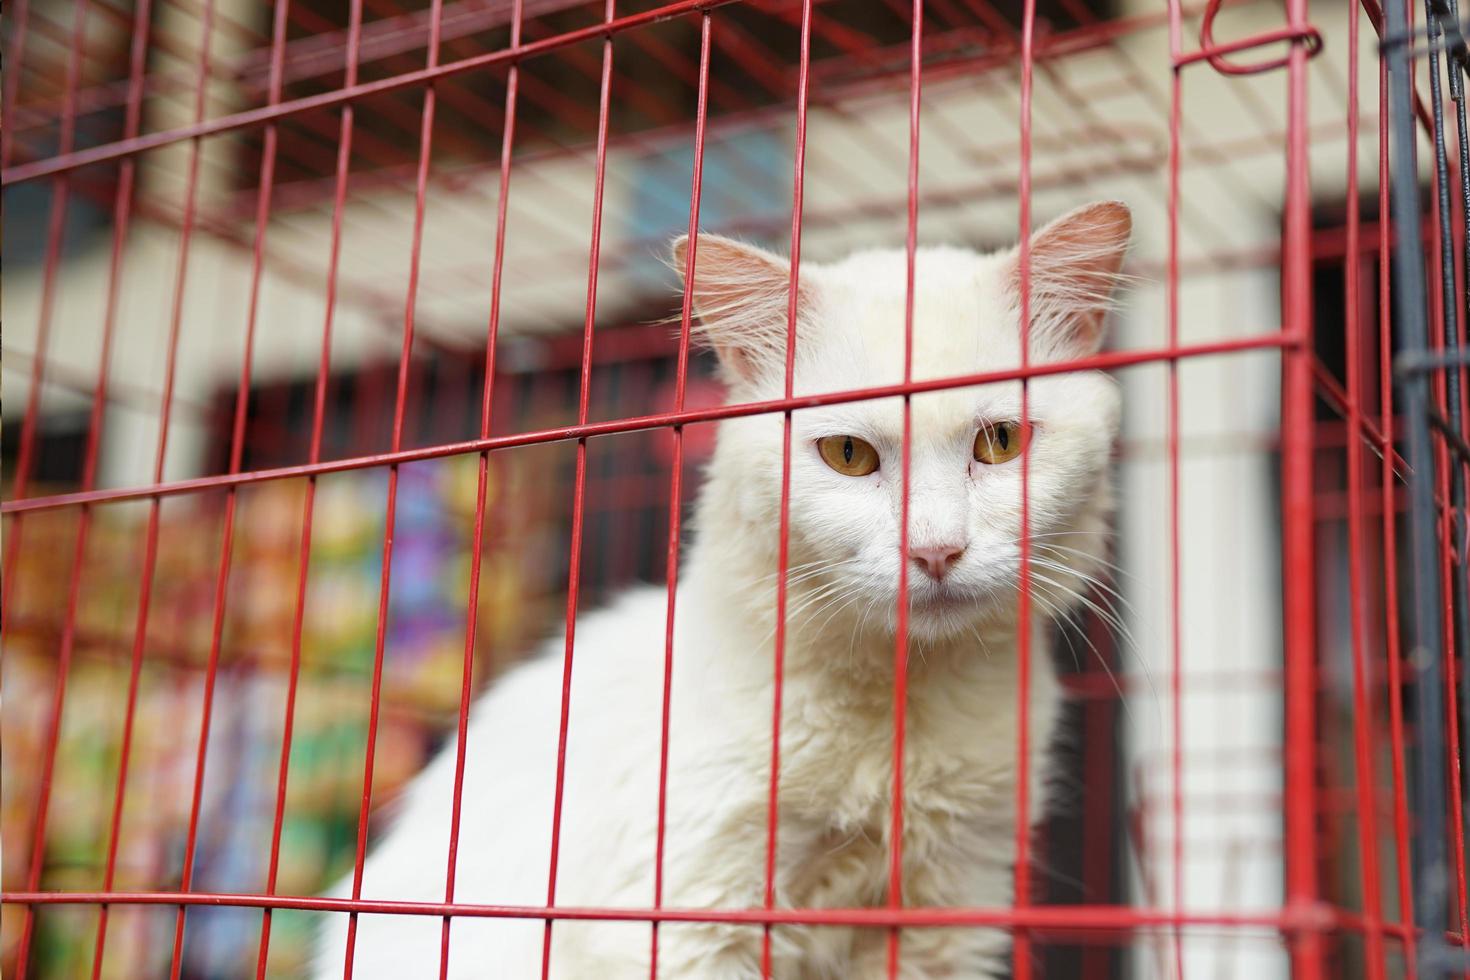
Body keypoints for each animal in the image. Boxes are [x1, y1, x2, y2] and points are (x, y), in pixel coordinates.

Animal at [316, 199, 1128, 980]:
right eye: (848, 454)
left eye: (1000, 443)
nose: (935, 550)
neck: (900, 713)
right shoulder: (677, 919)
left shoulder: (945, 914)